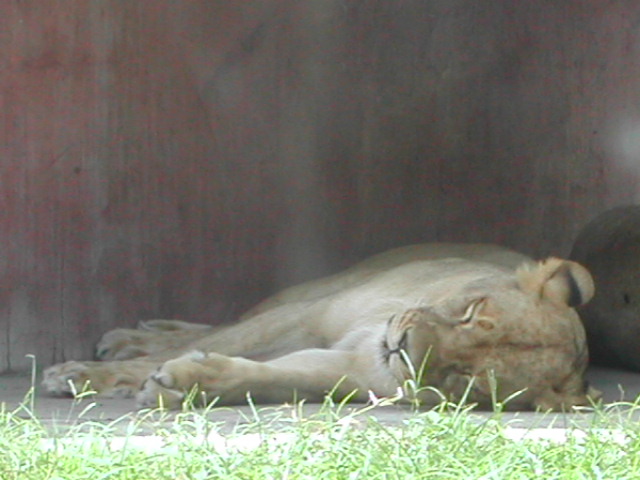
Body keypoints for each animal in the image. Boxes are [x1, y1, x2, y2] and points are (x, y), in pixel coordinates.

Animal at [43, 244, 600, 412]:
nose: (402, 346)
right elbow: (219, 340)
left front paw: (186, 384)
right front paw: (81, 374)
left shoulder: (355, 371)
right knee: (221, 323)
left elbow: (270, 376)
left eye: (468, 378)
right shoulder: (309, 314)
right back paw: (130, 339)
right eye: (471, 310)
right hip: (313, 289)